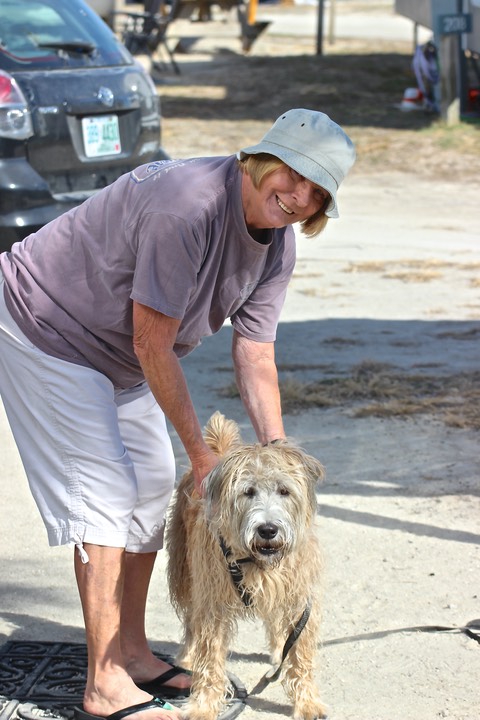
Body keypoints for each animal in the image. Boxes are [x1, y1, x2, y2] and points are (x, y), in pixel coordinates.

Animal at [165, 410, 326, 720]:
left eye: (284, 491)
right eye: (248, 492)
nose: (268, 529)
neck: (256, 562)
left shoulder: (298, 600)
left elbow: (299, 653)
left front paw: (307, 702)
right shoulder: (212, 607)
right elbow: (210, 658)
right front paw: (203, 706)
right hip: (186, 574)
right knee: (191, 621)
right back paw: (187, 656)